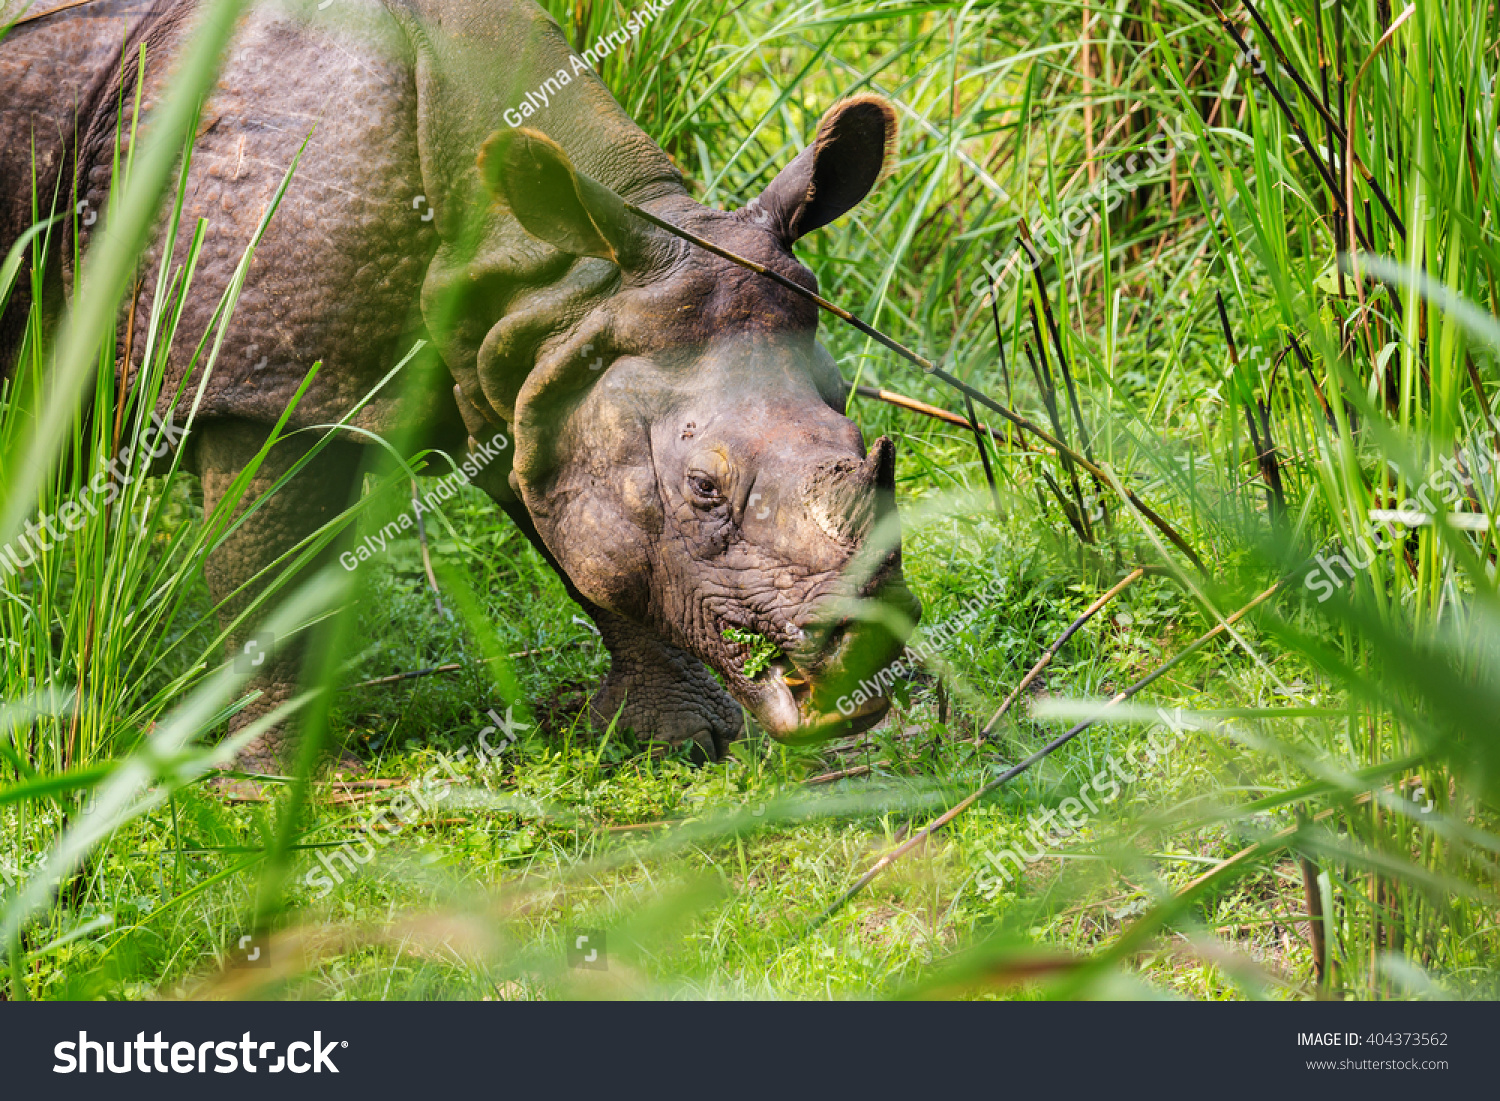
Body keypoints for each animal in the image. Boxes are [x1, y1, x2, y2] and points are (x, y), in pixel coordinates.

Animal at [1, 0, 920, 768]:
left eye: (858, 434)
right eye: (703, 488)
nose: (865, 655)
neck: (548, 266)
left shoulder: (537, 354)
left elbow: (579, 530)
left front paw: (679, 741)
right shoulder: (262, 384)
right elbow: (270, 580)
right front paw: (275, 779)